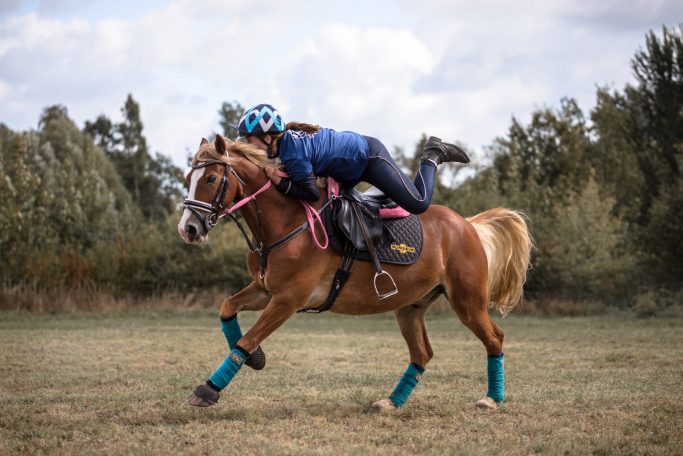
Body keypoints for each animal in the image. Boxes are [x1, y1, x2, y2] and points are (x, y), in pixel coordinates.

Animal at [178, 134, 532, 412]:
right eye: (187, 179)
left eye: (210, 179)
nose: (188, 229)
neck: (285, 222)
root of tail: (468, 225)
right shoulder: (266, 290)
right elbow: (228, 308)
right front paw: (256, 359)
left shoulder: (288, 299)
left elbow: (248, 338)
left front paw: (208, 389)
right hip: (411, 306)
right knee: (422, 353)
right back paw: (390, 402)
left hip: (467, 301)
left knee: (495, 338)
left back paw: (491, 399)